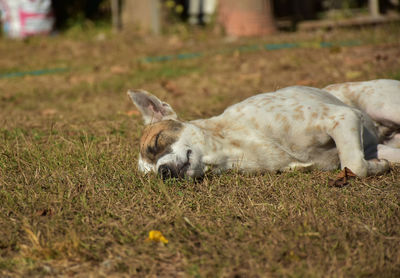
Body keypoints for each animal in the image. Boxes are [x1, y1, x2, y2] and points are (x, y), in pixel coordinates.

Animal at [129, 79, 400, 179]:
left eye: (156, 143)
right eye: (151, 175)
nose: (163, 172)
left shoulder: (342, 117)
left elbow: (354, 166)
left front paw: (376, 168)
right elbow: (353, 165)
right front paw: (377, 165)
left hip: (385, 105)